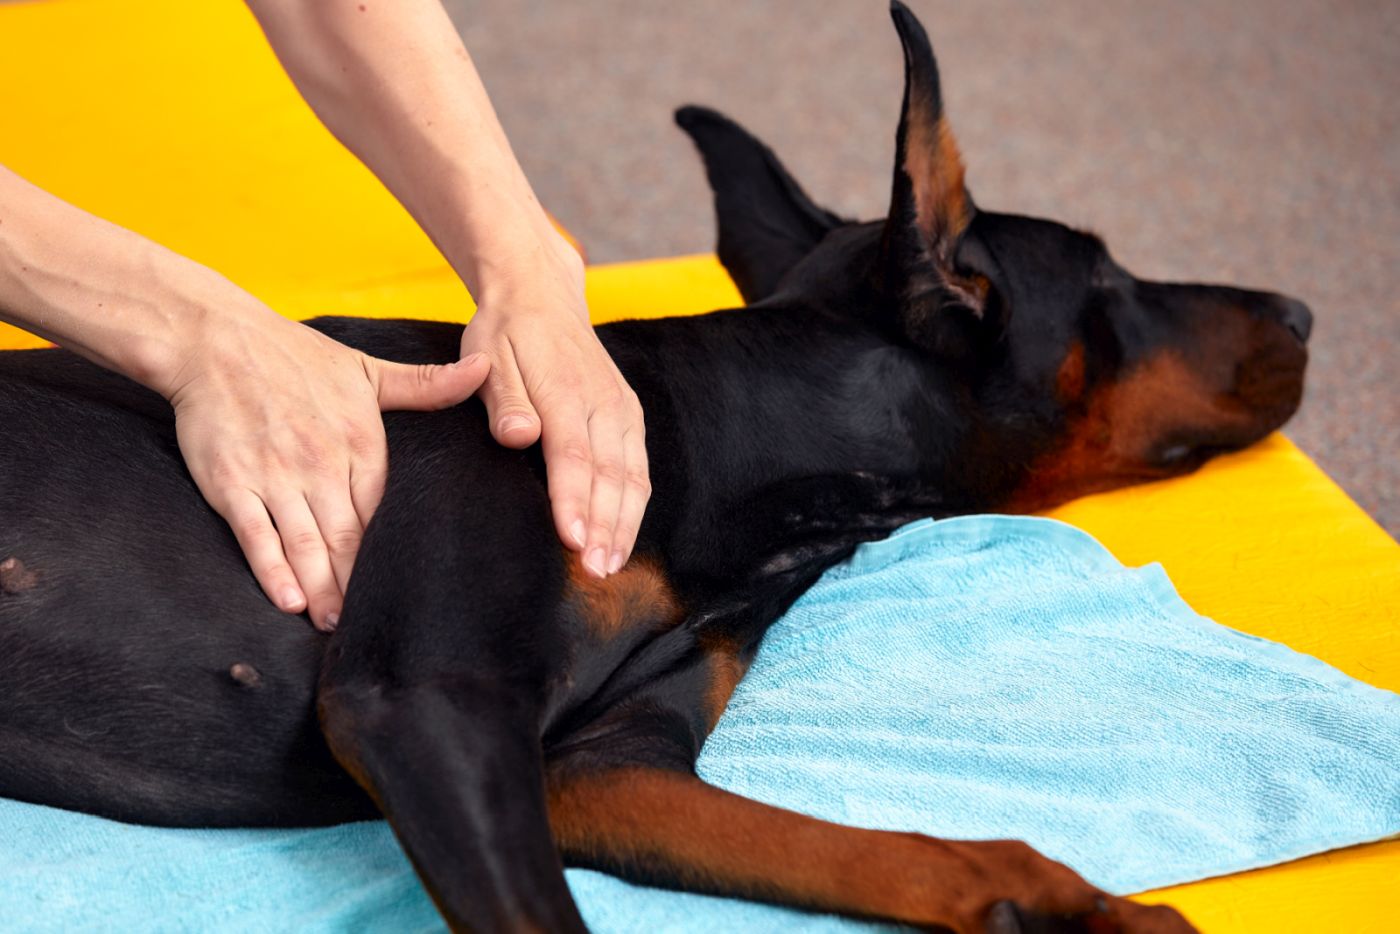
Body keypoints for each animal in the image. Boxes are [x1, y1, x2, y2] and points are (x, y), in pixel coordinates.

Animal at [2, 7, 1310, 934]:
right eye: (1106, 283)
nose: (1300, 311)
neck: (734, 449)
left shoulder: (599, 766)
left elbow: (882, 847)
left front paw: (1073, 901)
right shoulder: (425, 700)